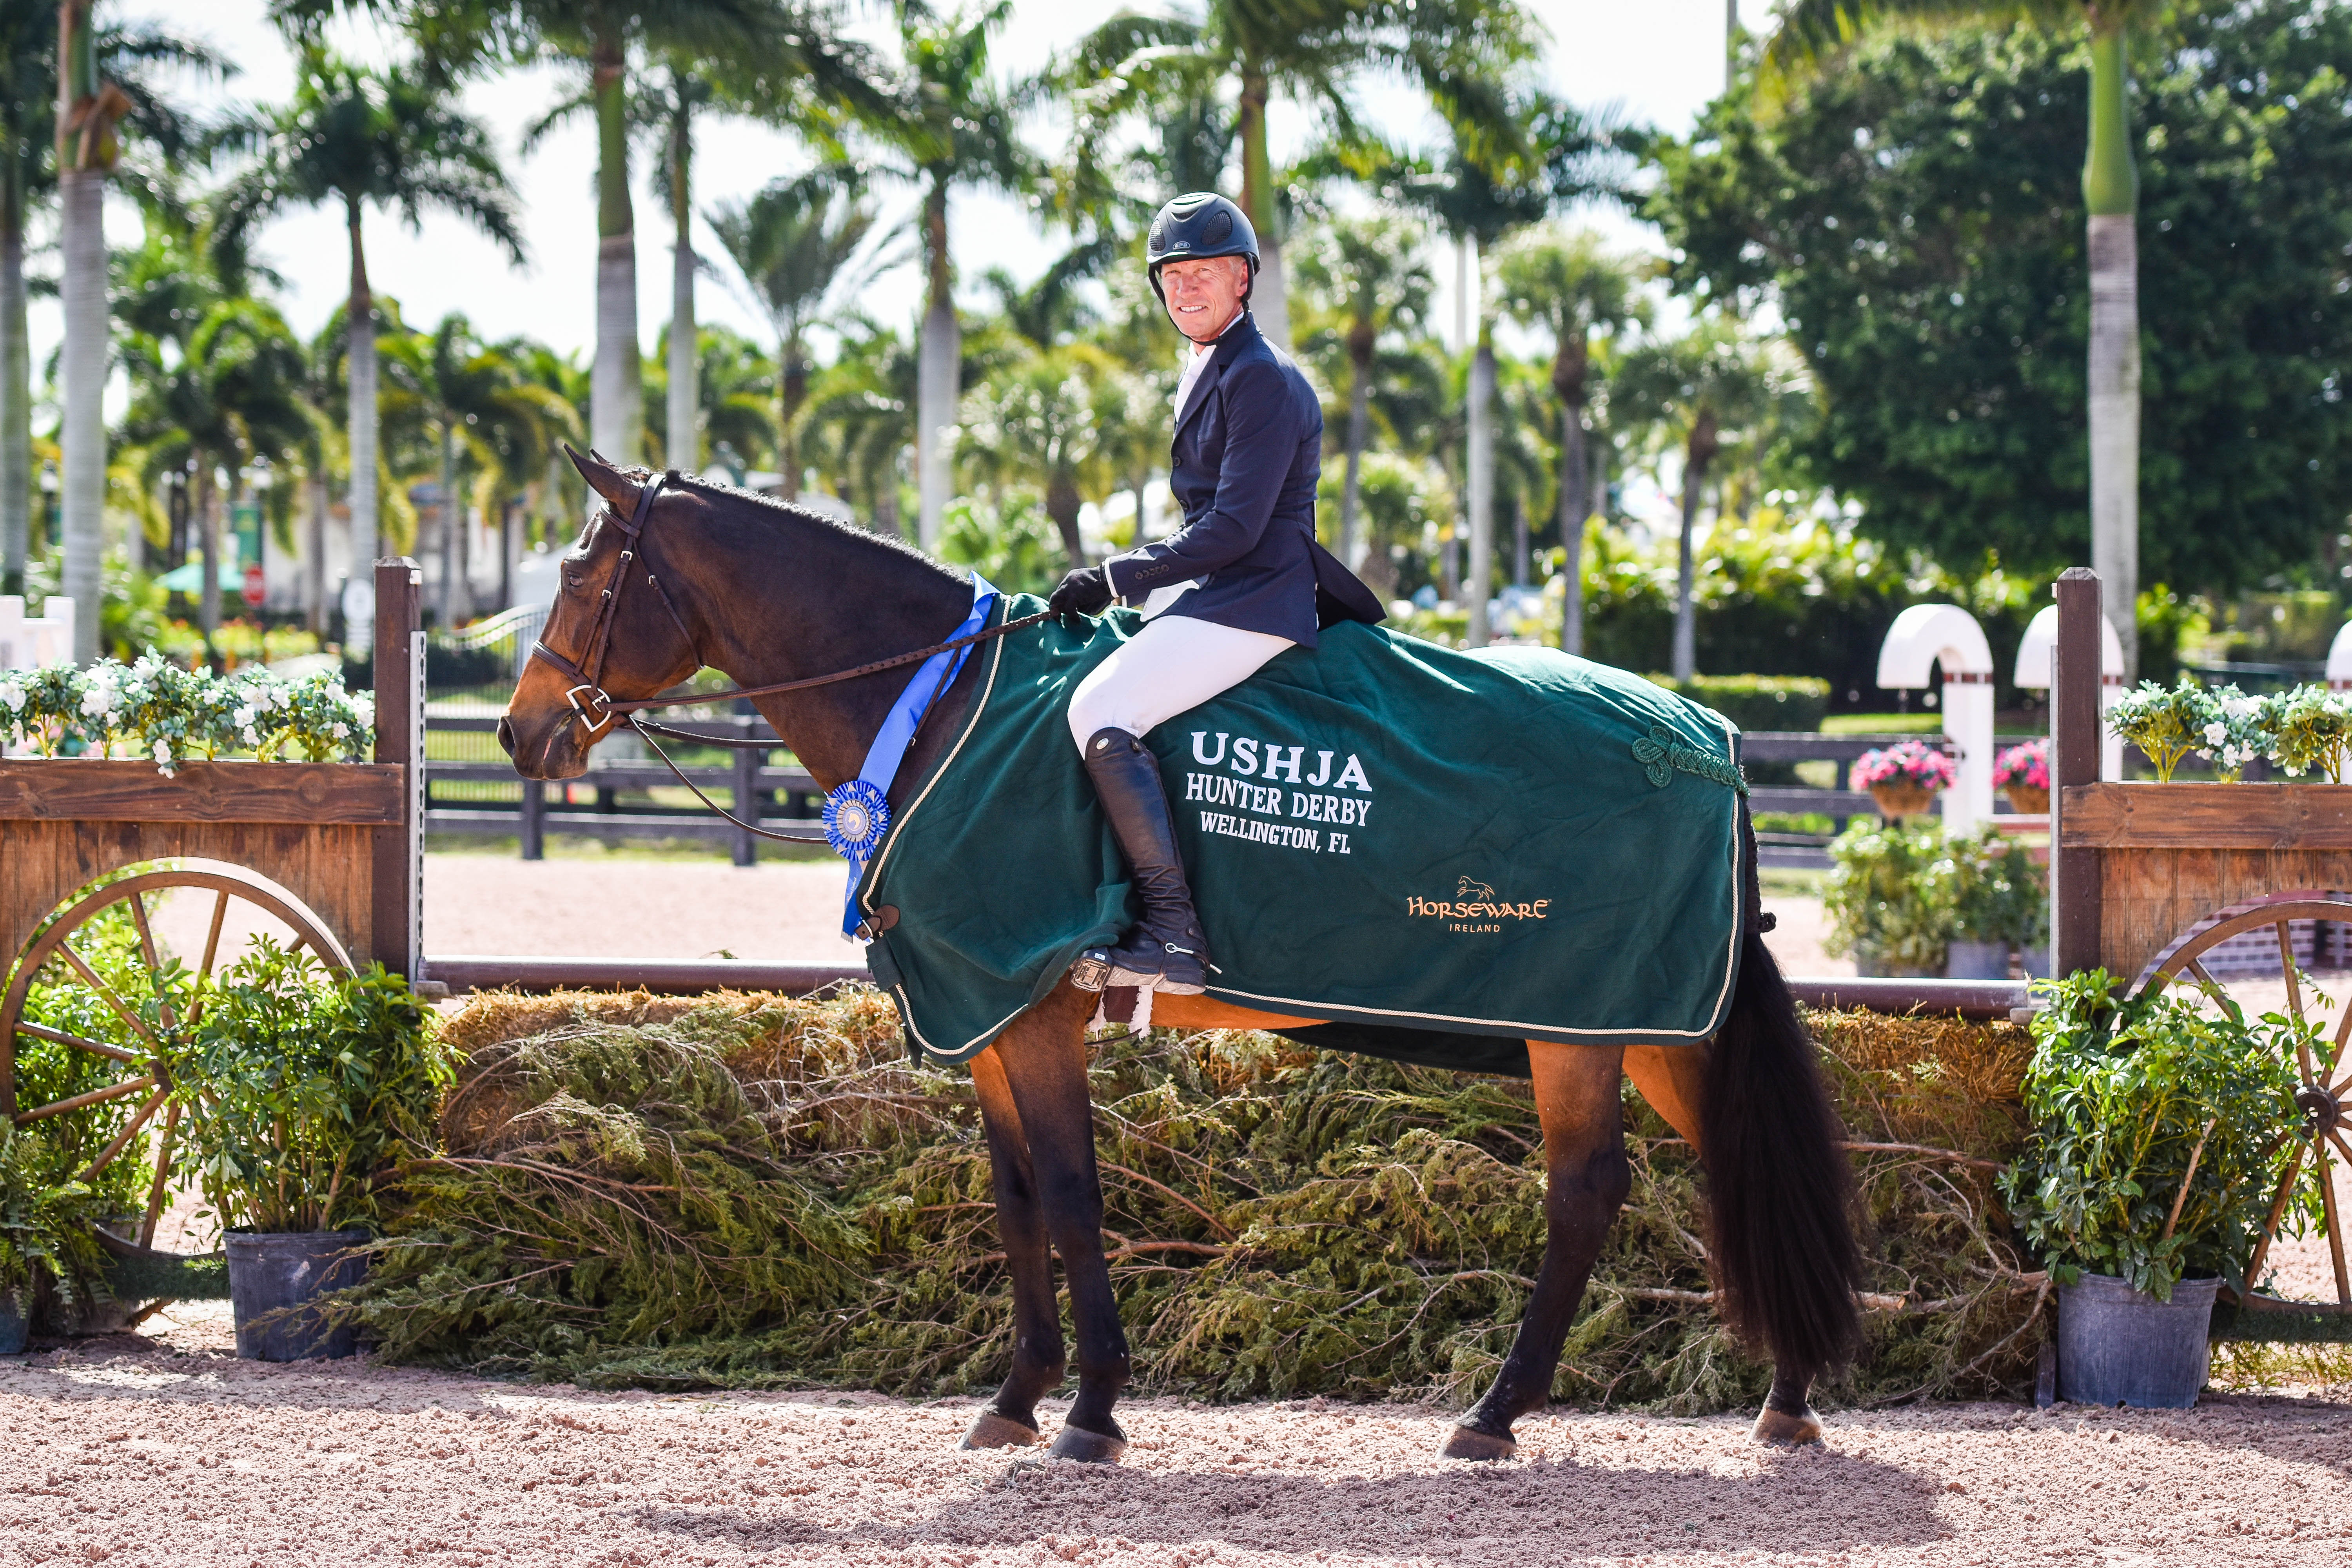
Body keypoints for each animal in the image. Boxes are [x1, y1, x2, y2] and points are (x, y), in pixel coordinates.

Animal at [506, 451, 1863, 1457]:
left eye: (579, 573)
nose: (521, 735)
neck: (938, 708)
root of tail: (1708, 738)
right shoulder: (990, 1018)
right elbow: (1014, 1200)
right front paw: (1015, 1398)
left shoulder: (1031, 1012)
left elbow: (1070, 1193)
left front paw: (1094, 1409)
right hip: (1645, 1031)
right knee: (1730, 1157)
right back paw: (1783, 1397)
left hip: (1581, 1028)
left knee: (1585, 1195)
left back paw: (1497, 1413)